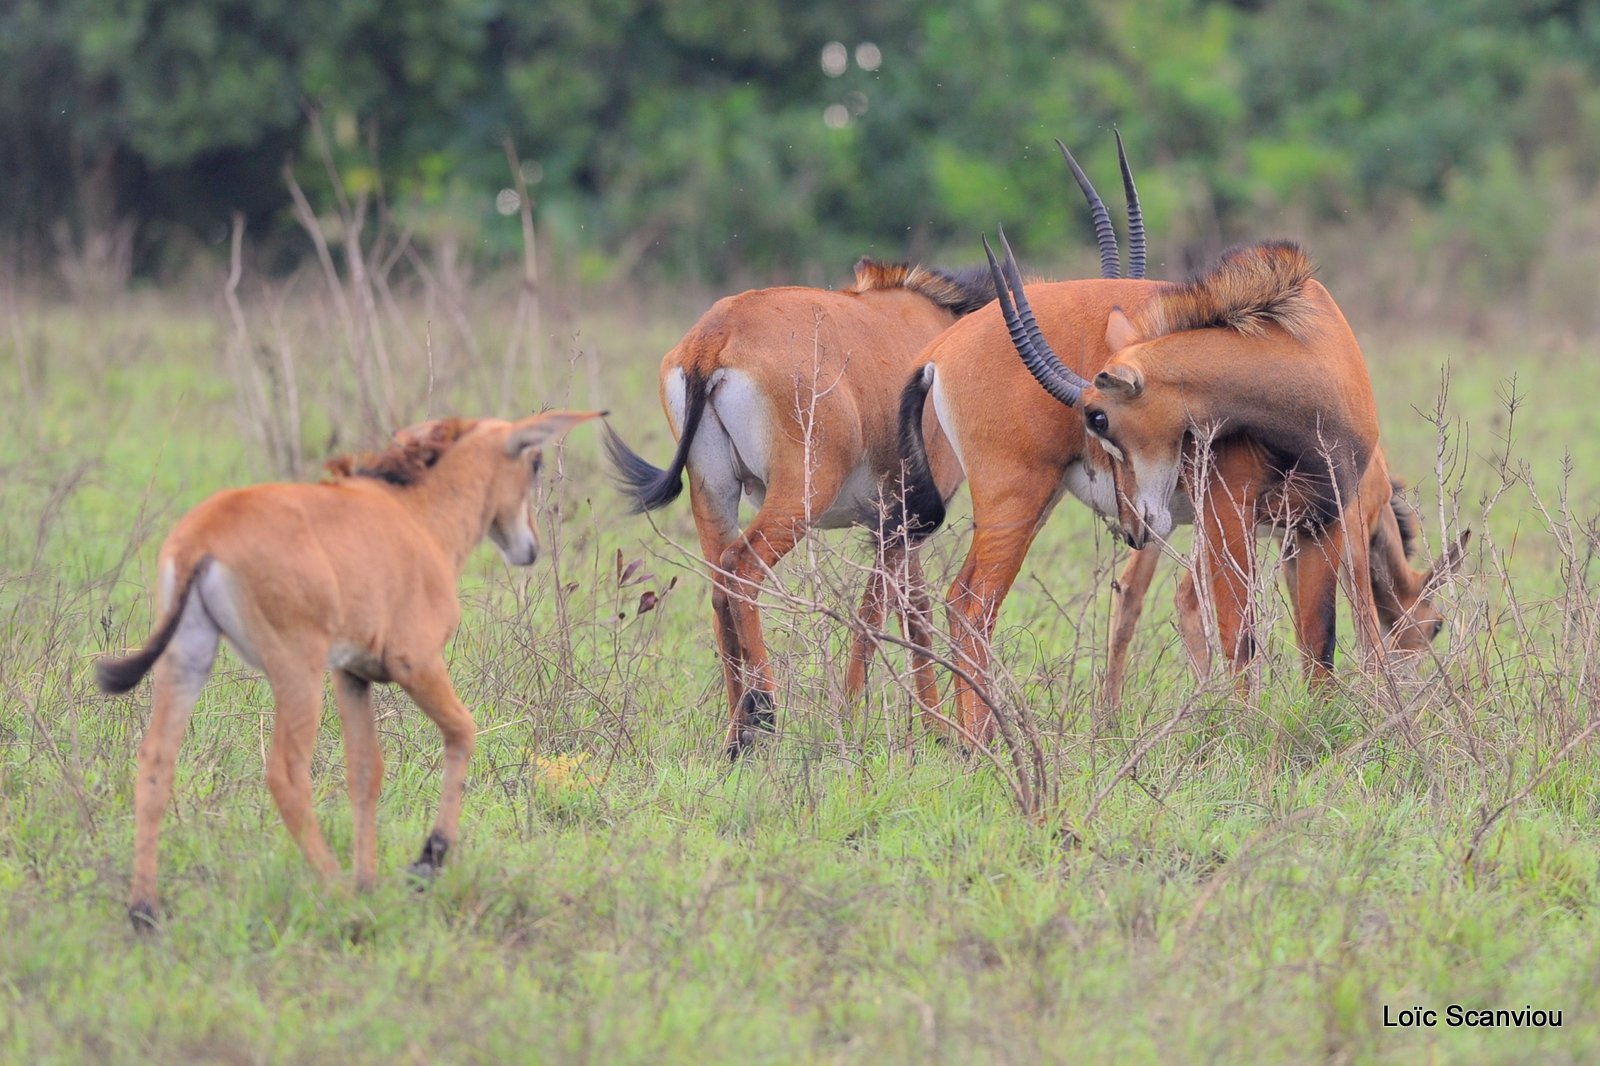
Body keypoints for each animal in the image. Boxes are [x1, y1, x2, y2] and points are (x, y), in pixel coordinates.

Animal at [604, 257, 992, 752]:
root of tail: (714, 335)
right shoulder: (905, 518)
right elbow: (878, 612)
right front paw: (851, 716)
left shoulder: (895, 523)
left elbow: (915, 611)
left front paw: (937, 732)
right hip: (799, 497)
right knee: (742, 567)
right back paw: (764, 711)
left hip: (713, 491)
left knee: (720, 586)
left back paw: (737, 735)